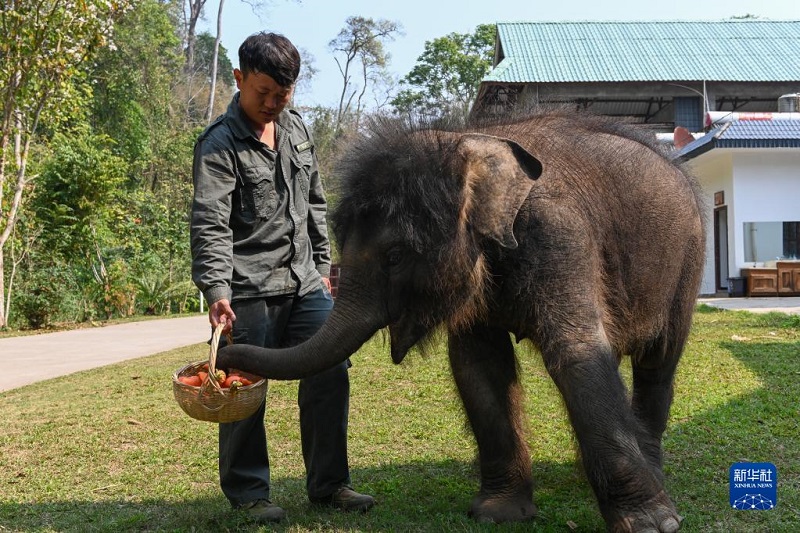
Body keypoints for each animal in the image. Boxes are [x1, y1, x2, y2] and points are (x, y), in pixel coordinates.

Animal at [214, 110, 708, 528]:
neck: (467, 145)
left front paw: (653, 524)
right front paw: (499, 513)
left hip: (688, 257)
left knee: (658, 363)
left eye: (396, 256)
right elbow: (479, 364)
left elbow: (578, 351)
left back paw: (652, 468)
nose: (222, 353)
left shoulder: (561, 234)